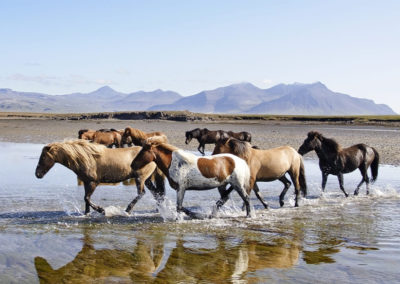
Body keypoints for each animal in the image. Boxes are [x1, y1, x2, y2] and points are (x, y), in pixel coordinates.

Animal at [35, 139, 165, 214]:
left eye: (43, 157)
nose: (37, 174)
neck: (86, 157)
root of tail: (154, 157)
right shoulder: (86, 182)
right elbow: (86, 199)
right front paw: (87, 214)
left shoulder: (94, 182)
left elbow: (87, 198)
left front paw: (101, 210)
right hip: (147, 180)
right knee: (156, 193)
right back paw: (157, 209)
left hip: (140, 178)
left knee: (142, 193)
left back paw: (128, 210)